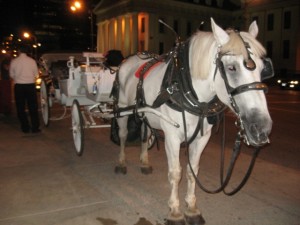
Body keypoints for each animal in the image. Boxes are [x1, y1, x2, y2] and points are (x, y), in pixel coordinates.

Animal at [112, 18, 272, 224]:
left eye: (262, 68)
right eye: (231, 68)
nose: (261, 127)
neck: (191, 93)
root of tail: (129, 60)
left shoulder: (202, 138)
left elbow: (192, 170)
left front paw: (192, 209)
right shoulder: (172, 136)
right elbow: (175, 172)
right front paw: (175, 211)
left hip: (146, 113)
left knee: (145, 134)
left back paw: (145, 162)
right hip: (123, 109)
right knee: (123, 135)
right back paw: (121, 162)